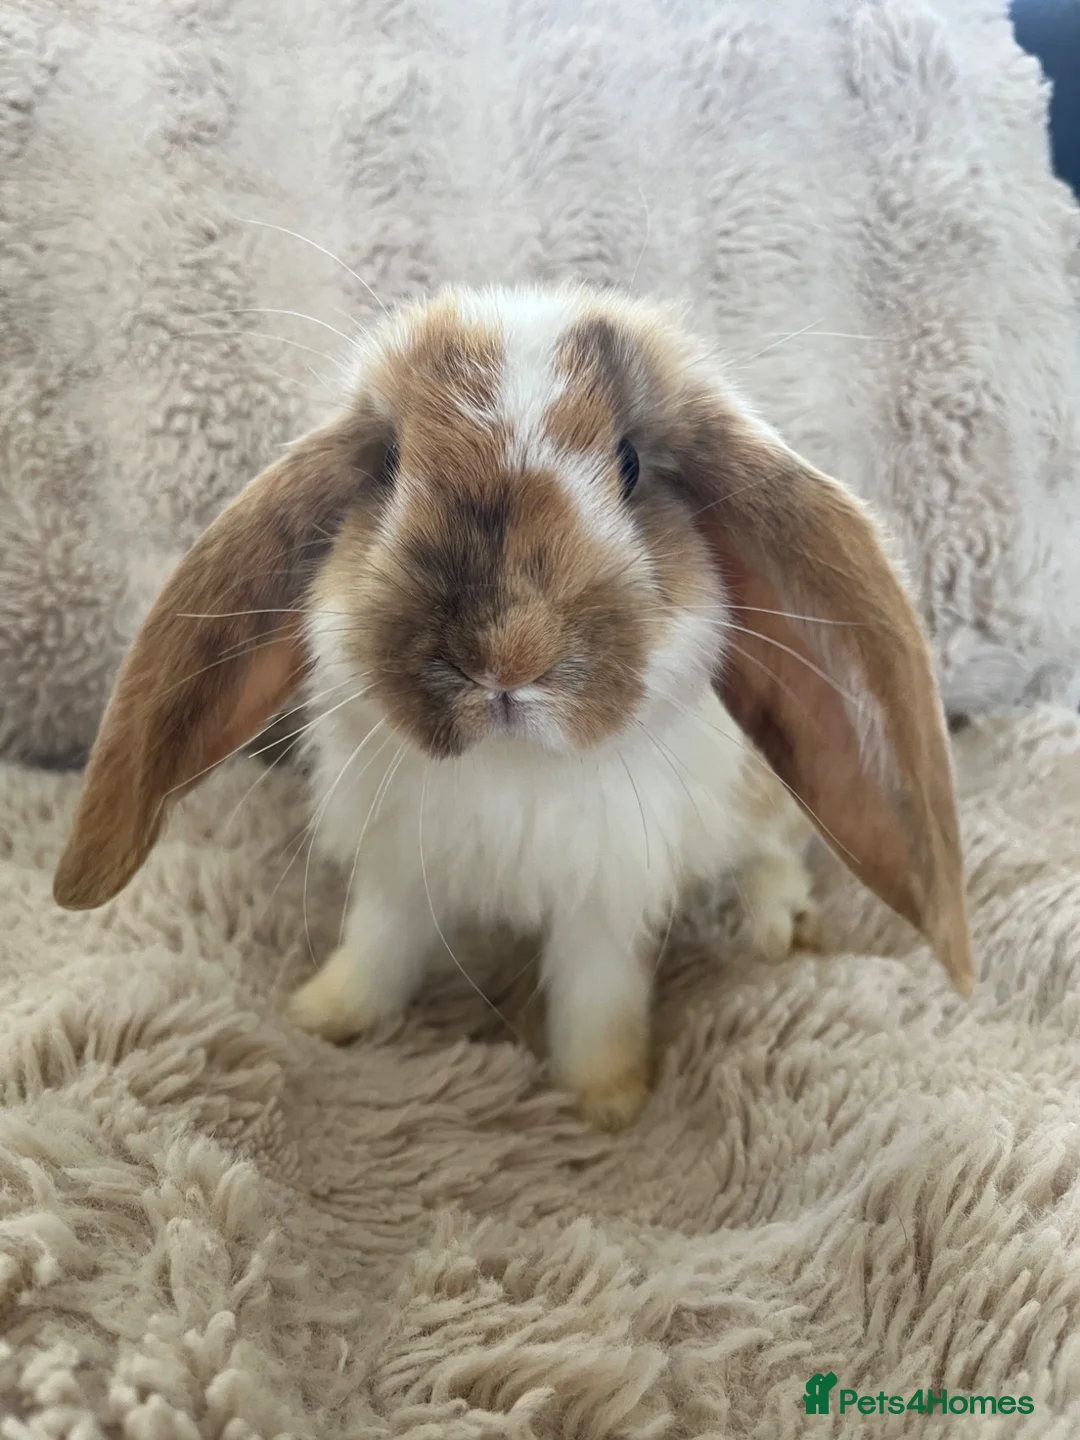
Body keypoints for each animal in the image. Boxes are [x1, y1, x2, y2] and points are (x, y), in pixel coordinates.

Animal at [53, 283, 976, 1130]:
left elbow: (597, 996)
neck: (512, 766)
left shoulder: (606, 890)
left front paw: (608, 1100)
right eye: (391, 464)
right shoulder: (399, 868)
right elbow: (379, 949)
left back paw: (775, 923)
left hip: (766, 798)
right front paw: (322, 1015)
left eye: (630, 464)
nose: (507, 656)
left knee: (777, 850)